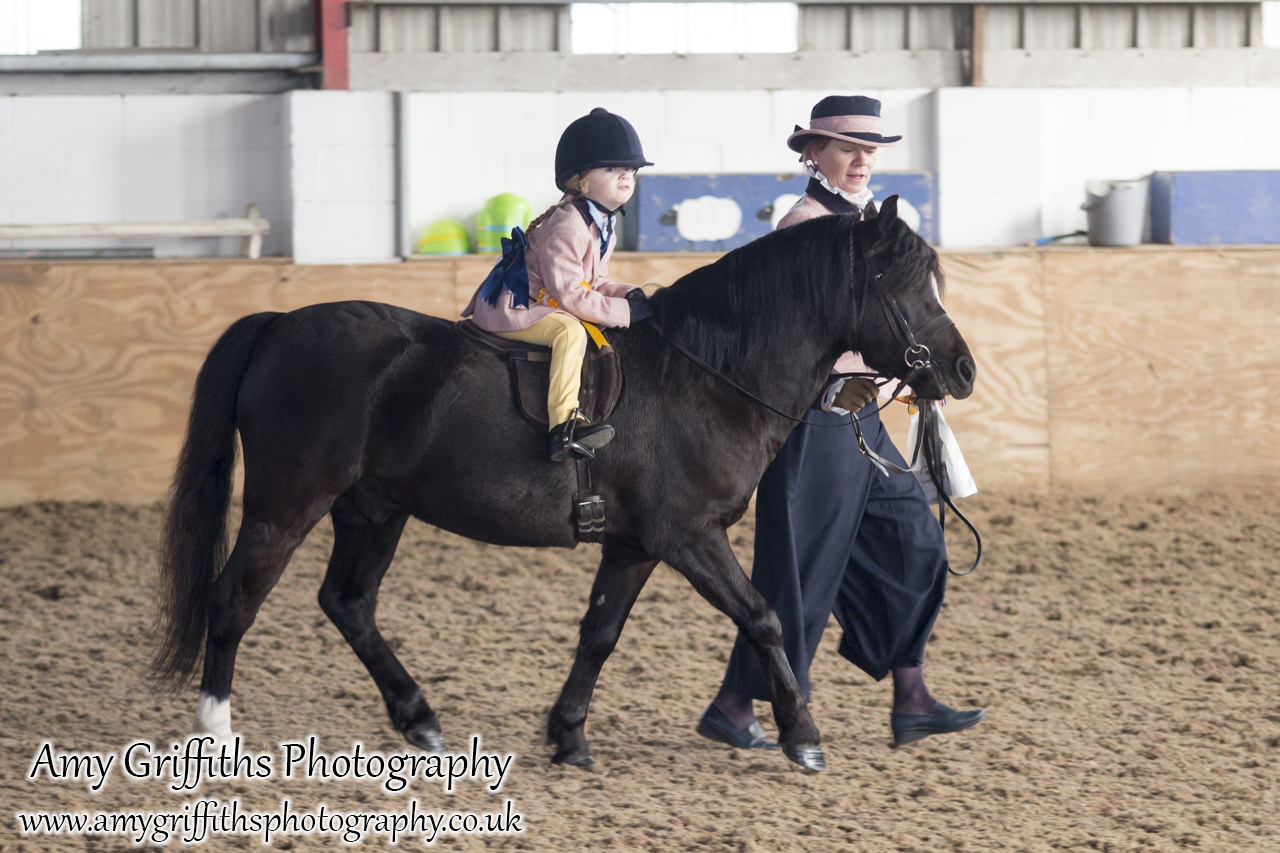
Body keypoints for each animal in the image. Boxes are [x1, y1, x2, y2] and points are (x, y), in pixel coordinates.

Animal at [152, 197, 967, 768]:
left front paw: (568, 733)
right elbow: (763, 617)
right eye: (905, 287)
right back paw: (214, 728)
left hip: (372, 509)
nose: (962, 371)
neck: (706, 375)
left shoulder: (635, 546)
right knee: (233, 599)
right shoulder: (690, 537)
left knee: (347, 602)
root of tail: (280, 322)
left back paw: (418, 715)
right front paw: (802, 734)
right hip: (287, 503)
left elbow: (599, 634)